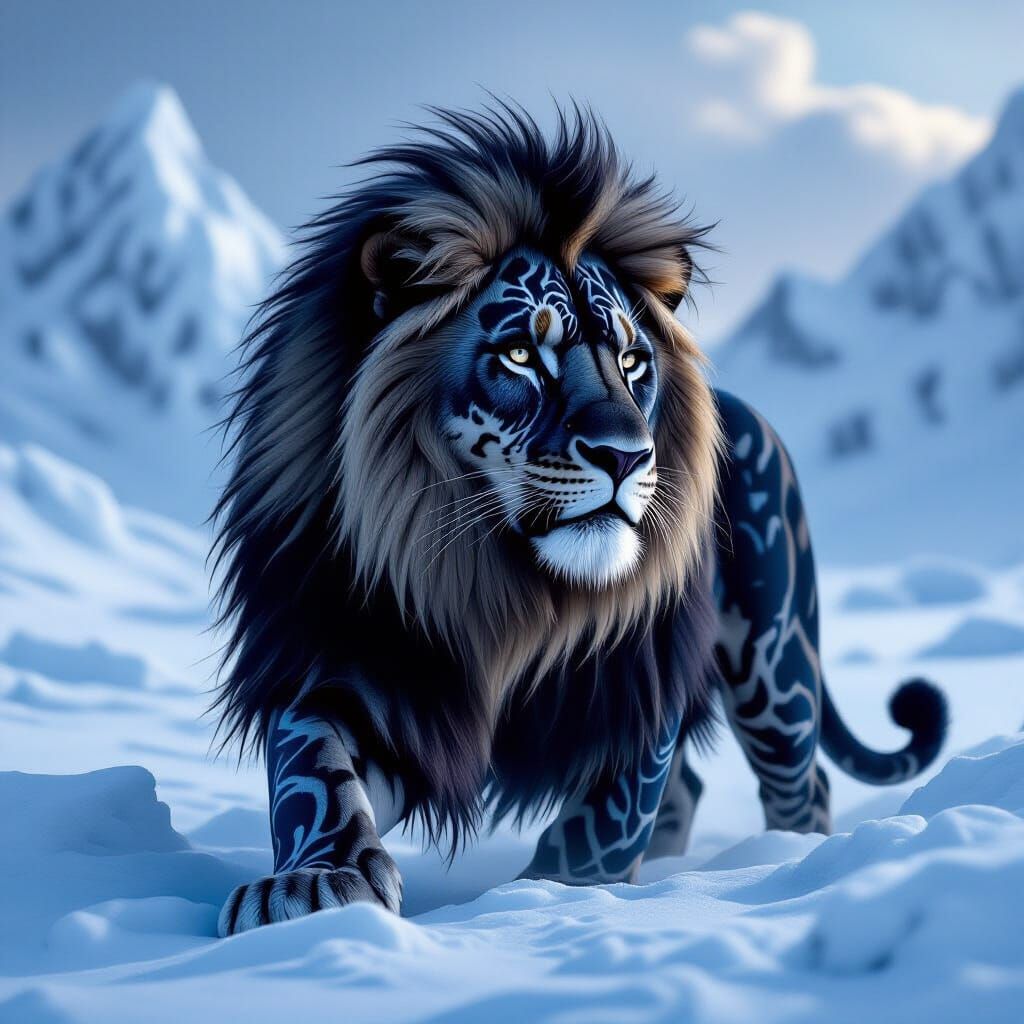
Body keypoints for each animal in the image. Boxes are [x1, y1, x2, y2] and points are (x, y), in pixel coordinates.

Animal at [212, 103, 947, 935]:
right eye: (521, 356)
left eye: (632, 361)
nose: (626, 456)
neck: (501, 593)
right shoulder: (368, 670)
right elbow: (310, 763)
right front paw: (313, 884)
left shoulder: (635, 684)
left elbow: (604, 822)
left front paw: (544, 899)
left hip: (773, 659)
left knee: (799, 780)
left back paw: (780, 867)